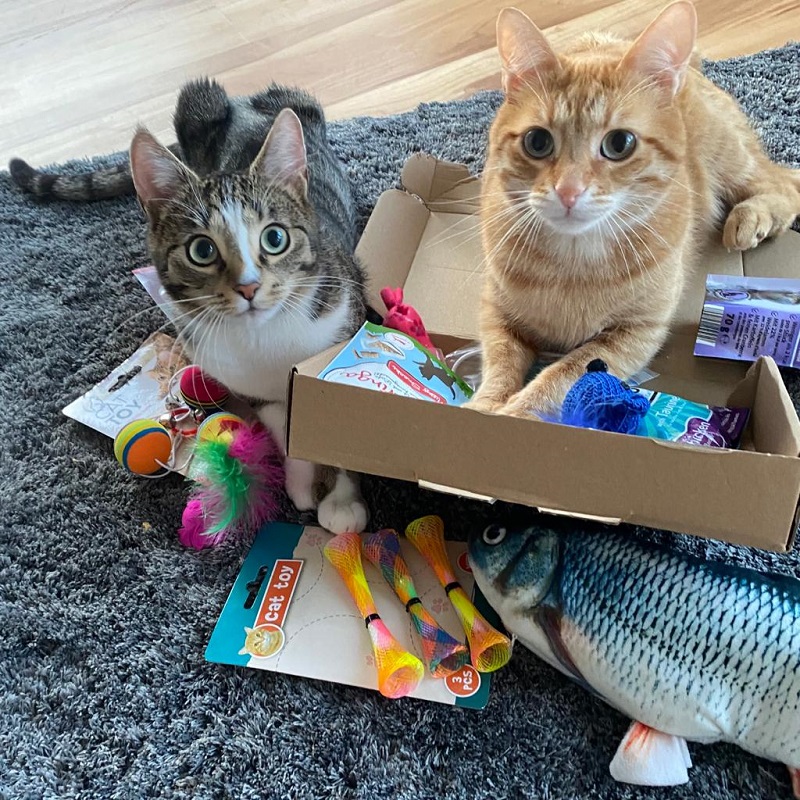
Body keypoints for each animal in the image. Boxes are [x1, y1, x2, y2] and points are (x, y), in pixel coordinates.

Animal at [10, 81, 369, 533]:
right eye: (201, 250)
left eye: (275, 238)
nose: (249, 287)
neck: (265, 338)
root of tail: (241, 104)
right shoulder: (242, 379)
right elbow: (280, 415)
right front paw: (302, 477)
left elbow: (338, 425)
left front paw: (340, 499)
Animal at [468, 2, 800, 419]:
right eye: (537, 141)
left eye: (620, 143)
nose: (568, 191)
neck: (572, 265)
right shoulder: (495, 313)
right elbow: (500, 361)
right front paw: (483, 405)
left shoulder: (632, 335)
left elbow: (562, 377)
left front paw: (516, 412)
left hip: (728, 158)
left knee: (784, 183)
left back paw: (751, 218)